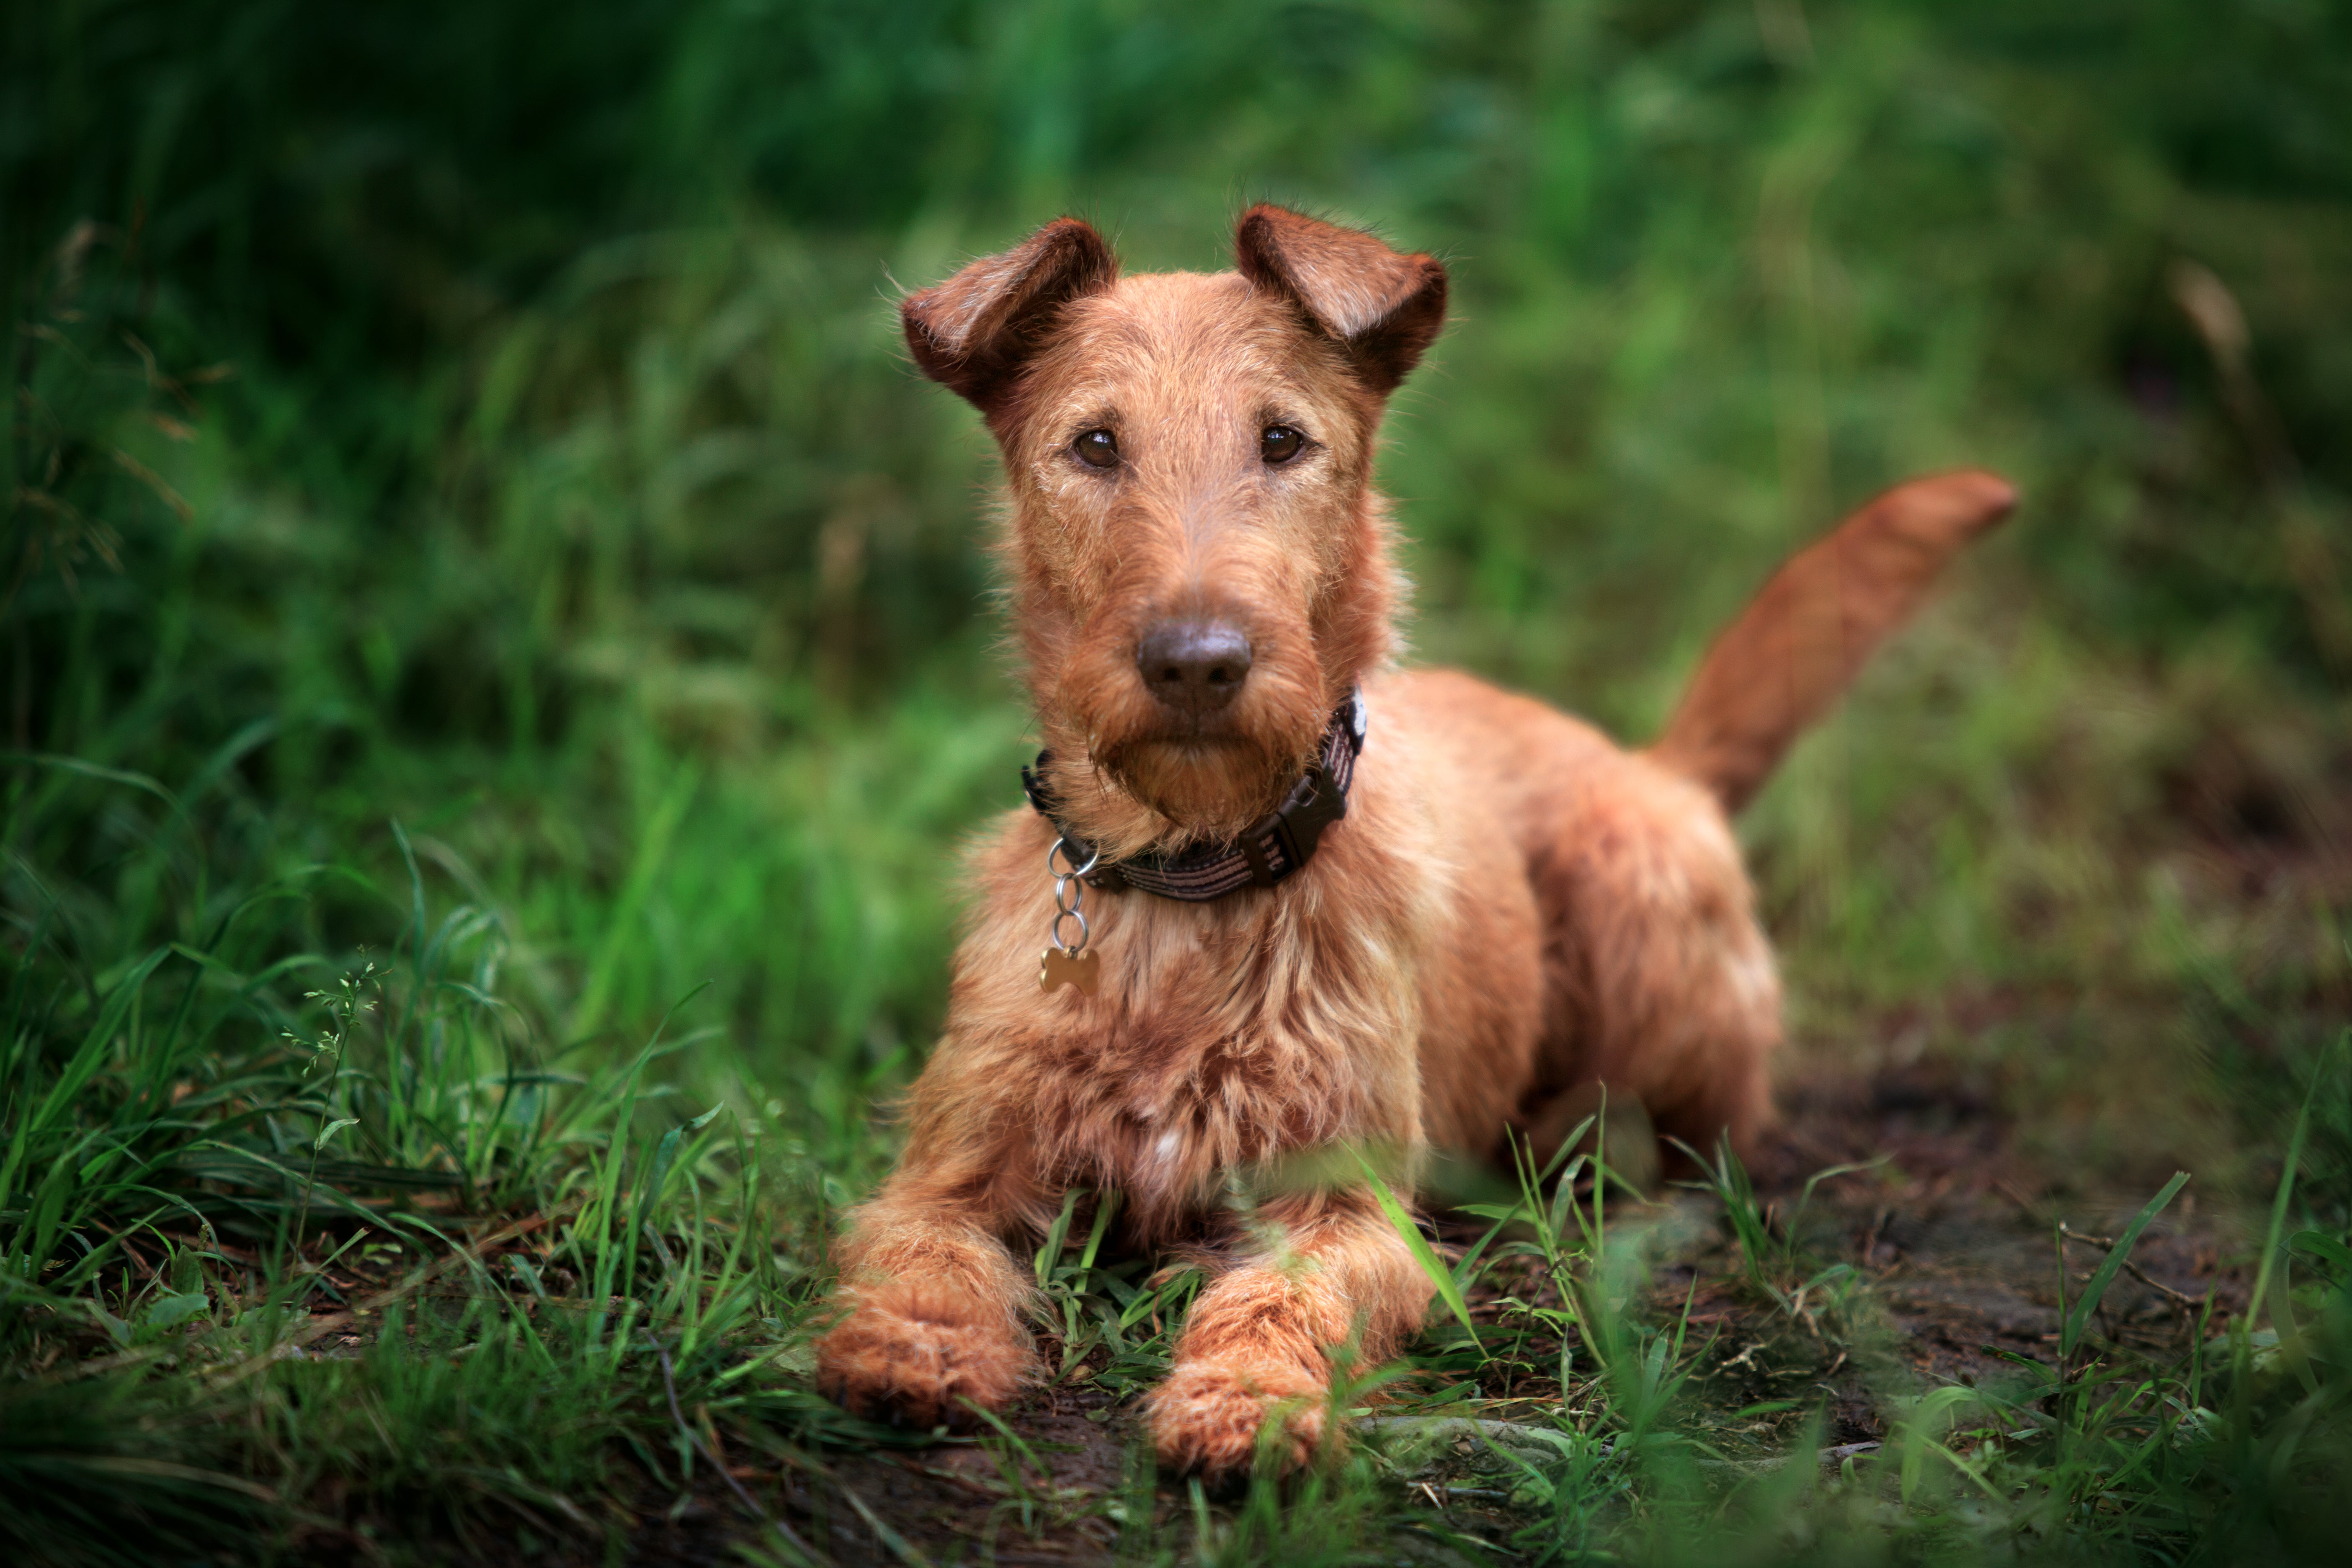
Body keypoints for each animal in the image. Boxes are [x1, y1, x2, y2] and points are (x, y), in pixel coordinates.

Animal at [818, 206, 2013, 1476]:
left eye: (1282, 440)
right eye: (1094, 444)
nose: (1197, 663)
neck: (1189, 879)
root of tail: (1658, 766)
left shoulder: (1352, 1205)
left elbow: (1283, 1294)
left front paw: (1247, 1395)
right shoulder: (947, 1168)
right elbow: (924, 1253)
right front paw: (910, 1349)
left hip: (1635, 915)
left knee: (1695, 1146)